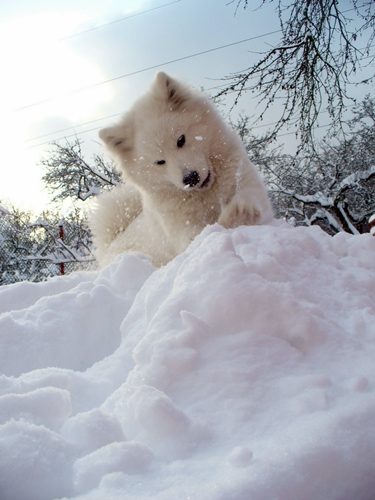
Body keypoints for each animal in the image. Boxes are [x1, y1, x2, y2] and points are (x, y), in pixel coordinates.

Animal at [91, 73, 274, 268]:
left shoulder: (246, 182)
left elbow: (250, 197)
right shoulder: (181, 231)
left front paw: (241, 212)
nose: (190, 178)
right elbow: (199, 236)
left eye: (181, 140)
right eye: (160, 161)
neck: (206, 195)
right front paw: (230, 220)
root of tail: (109, 244)